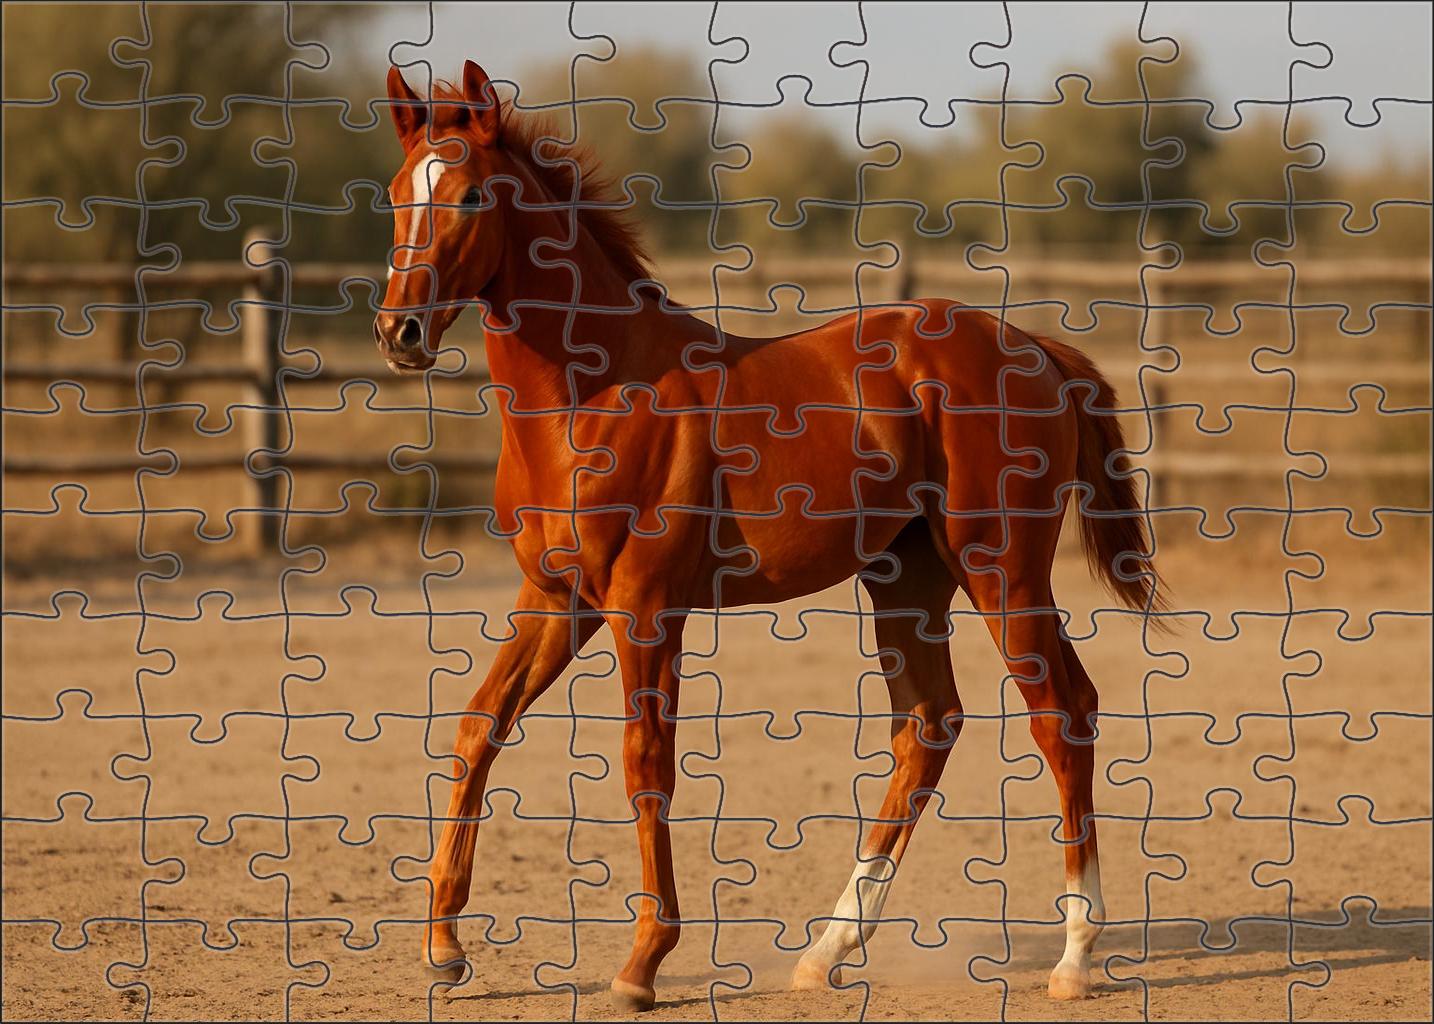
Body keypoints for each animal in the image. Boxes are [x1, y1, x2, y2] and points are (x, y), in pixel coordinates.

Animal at [373, 60, 1162, 1012]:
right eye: (395, 195)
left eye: (470, 197)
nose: (400, 332)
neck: (594, 393)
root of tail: (1037, 351)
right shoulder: (556, 599)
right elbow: (475, 729)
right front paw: (444, 950)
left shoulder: (645, 608)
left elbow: (646, 763)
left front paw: (642, 965)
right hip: (907, 581)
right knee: (928, 726)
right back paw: (829, 949)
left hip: (1002, 573)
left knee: (1062, 713)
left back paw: (1075, 956)